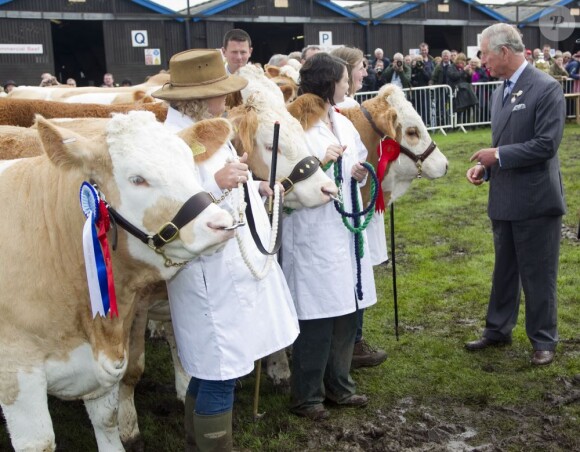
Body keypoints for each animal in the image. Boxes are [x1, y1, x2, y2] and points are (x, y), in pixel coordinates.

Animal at [0, 110, 236, 452]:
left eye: (189, 163)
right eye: (137, 179)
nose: (220, 223)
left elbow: (106, 419)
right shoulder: (17, 370)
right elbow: (40, 442)